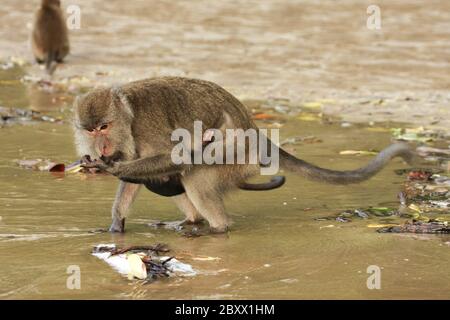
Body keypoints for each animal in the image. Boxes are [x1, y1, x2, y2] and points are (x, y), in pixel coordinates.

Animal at [74, 76, 414, 234]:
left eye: (104, 126)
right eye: (90, 130)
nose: (101, 146)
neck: (129, 115)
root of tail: (257, 134)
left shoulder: (147, 128)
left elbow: (176, 157)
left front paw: (113, 169)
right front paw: (116, 226)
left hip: (238, 157)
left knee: (196, 172)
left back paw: (216, 229)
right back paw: (192, 222)